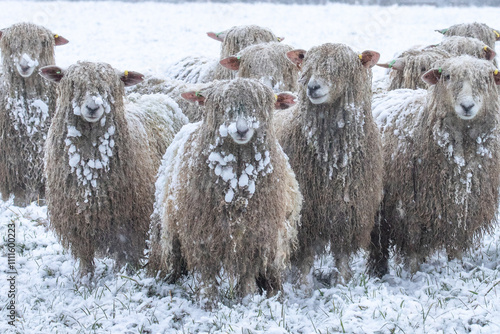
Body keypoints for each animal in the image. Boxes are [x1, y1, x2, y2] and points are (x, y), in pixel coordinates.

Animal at [39, 61, 188, 276]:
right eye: (74, 84)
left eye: (109, 87)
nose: (93, 107)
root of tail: (158, 97)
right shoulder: (76, 219)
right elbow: (85, 256)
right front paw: (85, 278)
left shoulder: (131, 217)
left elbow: (126, 251)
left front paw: (124, 273)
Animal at [148, 77, 302, 300]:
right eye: (220, 105)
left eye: (262, 106)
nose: (242, 130)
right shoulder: (201, 232)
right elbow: (207, 274)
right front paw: (208, 301)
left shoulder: (255, 235)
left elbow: (247, 273)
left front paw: (245, 299)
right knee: (172, 256)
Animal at [276, 43, 384, 284]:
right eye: (308, 66)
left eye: (340, 68)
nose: (313, 87)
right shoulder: (307, 214)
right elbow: (306, 257)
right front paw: (304, 286)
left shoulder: (348, 209)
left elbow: (342, 253)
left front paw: (342, 282)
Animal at [368, 56, 500, 278]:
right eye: (447, 76)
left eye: (485, 79)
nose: (467, 106)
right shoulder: (410, 206)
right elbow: (412, 246)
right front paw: (413, 275)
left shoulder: (461, 208)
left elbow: (456, 244)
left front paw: (457, 268)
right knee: (379, 243)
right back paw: (378, 273)